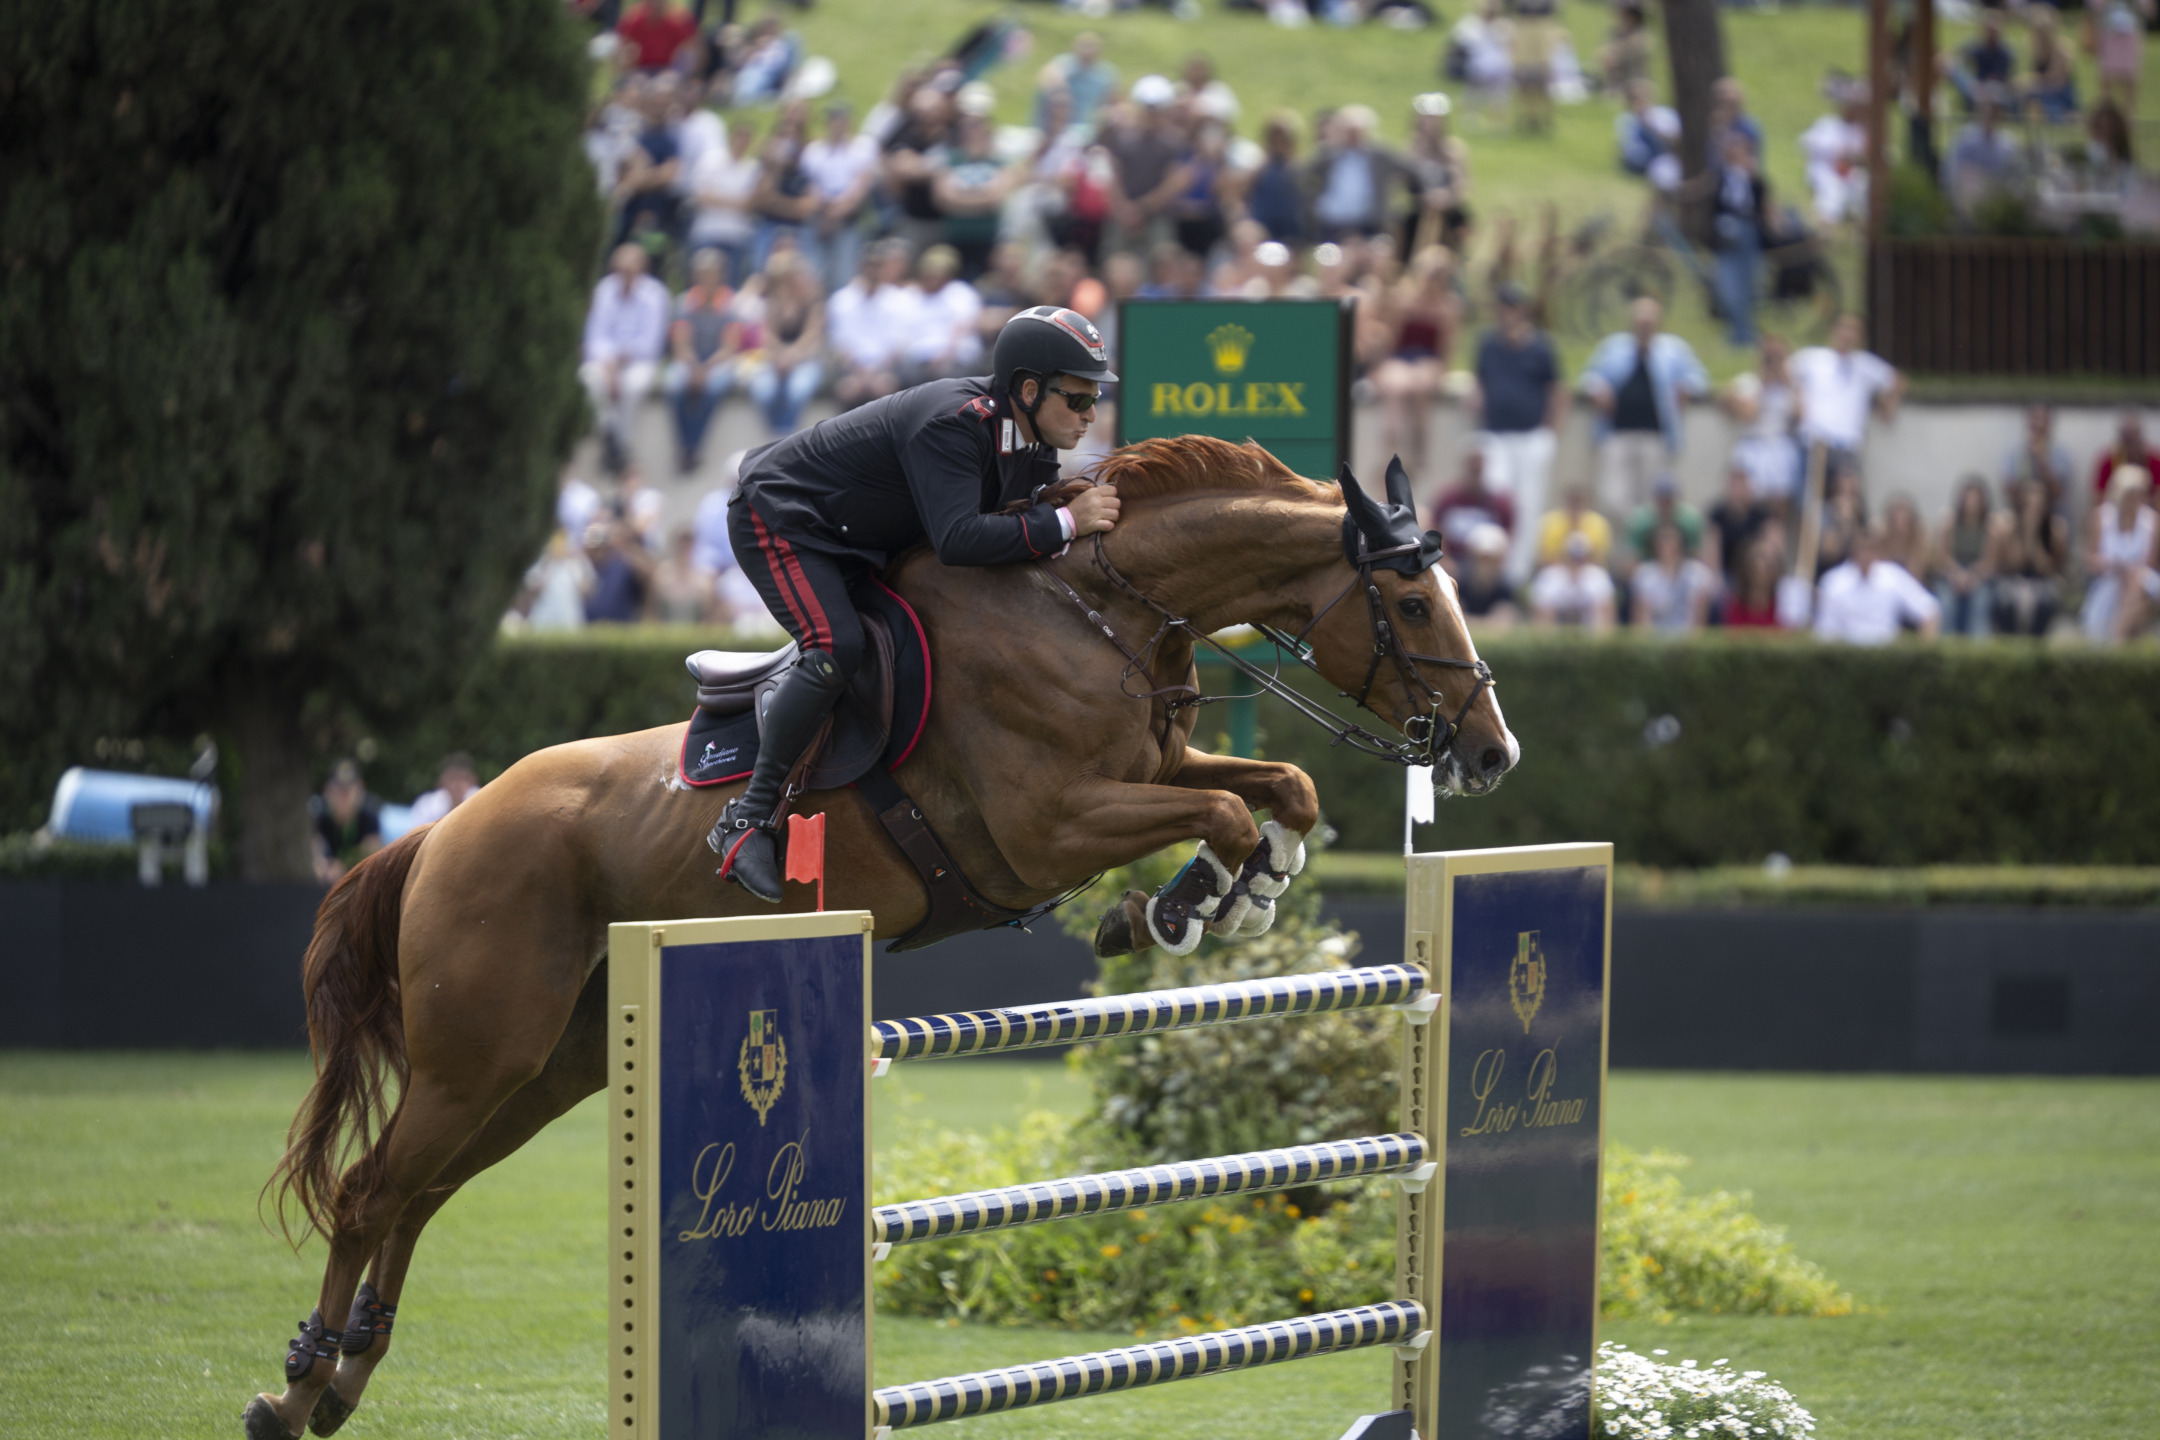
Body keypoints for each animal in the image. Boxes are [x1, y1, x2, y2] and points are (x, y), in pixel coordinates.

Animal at [240, 440, 1520, 1440]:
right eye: (1413, 604)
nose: (1491, 754)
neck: (1098, 608)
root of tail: (445, 829)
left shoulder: (1150, 766)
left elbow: (1278, 787)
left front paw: (1226, 892)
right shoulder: (1052, 824)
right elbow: (1222, 811)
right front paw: (1187, 903)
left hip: (548, 1067)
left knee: (419, 1194)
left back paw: (344, 1380)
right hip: (483, 1052)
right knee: (369, 1191)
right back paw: (297, 1388)